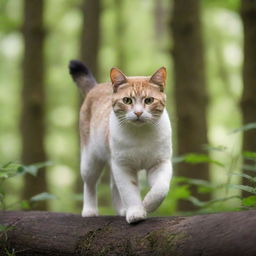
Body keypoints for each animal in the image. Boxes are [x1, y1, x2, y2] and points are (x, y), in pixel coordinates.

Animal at [68, 60, 172, 224]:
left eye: (149, 100)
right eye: (127, 100)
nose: (138, 112)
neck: (140, 134)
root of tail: (97, 86)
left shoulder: (160, 163)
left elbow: (160, 189)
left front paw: (148, 204)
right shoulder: (123, 166)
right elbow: (129, 192)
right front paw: (136, 212)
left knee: (113, 186)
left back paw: (122, 210)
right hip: (91, 160)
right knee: (90, 183)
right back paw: (90, 210)